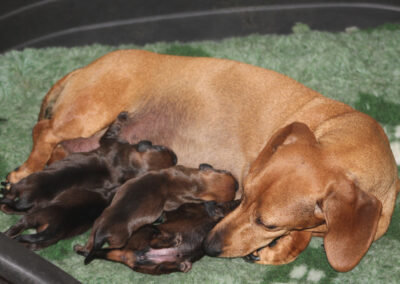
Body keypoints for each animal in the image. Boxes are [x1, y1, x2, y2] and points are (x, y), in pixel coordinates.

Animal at [74, 201, 241, 274]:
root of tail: (125, 253)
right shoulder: (187, 208)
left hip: (156, 268)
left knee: (164, 266)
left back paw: (182, 266)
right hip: (148, 229)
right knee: (154, 240)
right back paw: (172, 240)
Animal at [77, 162, 238, 262]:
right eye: (226, 171)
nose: (238, 185)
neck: (197, 184)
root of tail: (103, 230)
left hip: (95, 227)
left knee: (89, 245)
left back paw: (80, 247)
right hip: (120, 240)